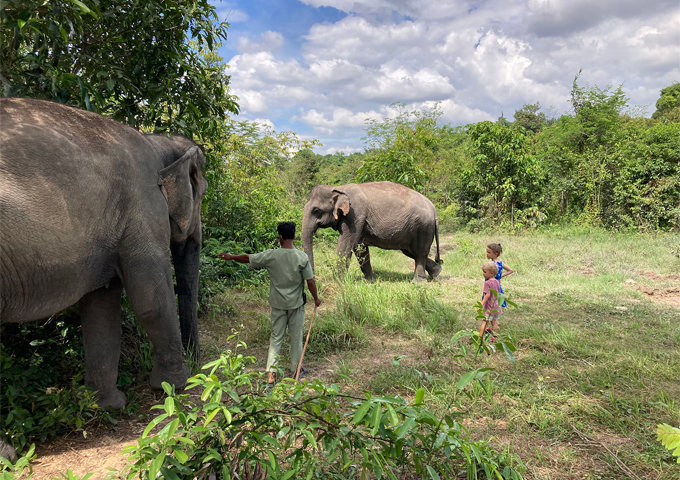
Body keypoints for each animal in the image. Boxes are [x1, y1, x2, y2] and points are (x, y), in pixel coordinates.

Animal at [0, 97, 207, 462]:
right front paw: (175, 387)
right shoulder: (143, 206)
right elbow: (150, 299)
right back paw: (8, 456)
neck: (156, 140)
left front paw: (107, 406)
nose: (201, 364)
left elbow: (101, 310)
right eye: (202, 193)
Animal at [302, 183, 440, 282]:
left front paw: (339, 282)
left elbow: (346, 244)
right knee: (411, 251)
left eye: (316, 210)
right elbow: (360, 248)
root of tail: (434, 210)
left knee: (420, 252)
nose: (315, 279)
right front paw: (369, 281)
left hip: (423, 227)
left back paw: (418, 282)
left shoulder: (354, 215)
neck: (338, 188)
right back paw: (436, 273)